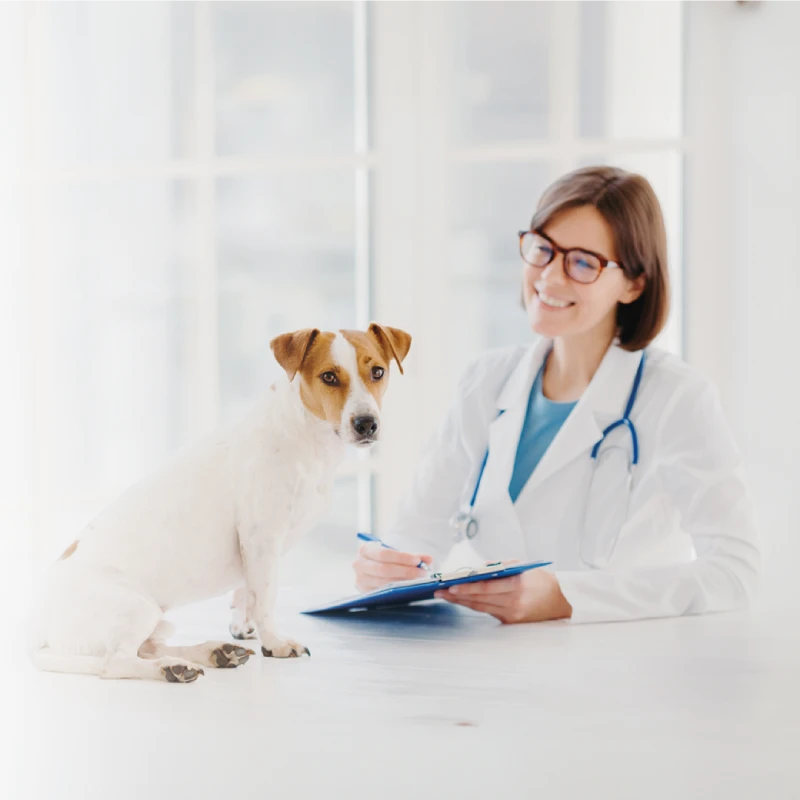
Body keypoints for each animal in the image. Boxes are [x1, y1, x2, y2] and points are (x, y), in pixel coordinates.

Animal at [29, 324, 412, 680]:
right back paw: (172, 669)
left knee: (149, 647)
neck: (303, 434)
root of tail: (42, 631)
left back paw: (213, 653)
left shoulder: (255, 547)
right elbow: (266, 595)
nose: (366, 424)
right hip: (137, 609)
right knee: (117, 663)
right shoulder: (262, 537)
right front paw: (275, 642)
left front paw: (244, 628)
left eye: (378, 372)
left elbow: (248, 590)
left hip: (159, 620)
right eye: (329, 376)